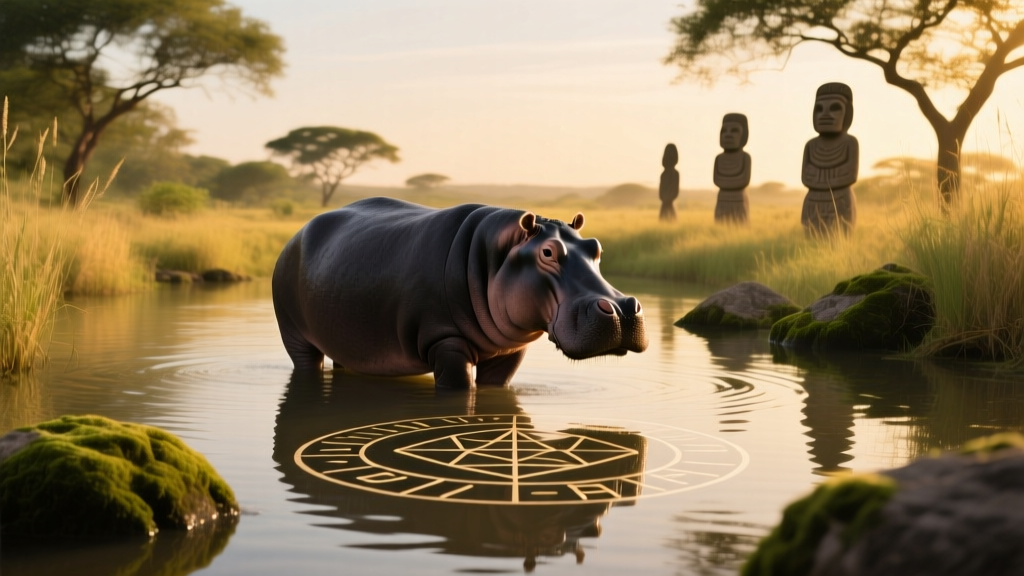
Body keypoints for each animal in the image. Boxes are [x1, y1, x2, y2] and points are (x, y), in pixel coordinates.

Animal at [272, 197, 647, 388]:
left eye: (595, 247)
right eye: (548, 252)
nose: (622, 308)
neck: (496, 255)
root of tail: (296, 233)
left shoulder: (509, 352)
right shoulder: (446, 342)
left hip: (346, 334)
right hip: (294, 332)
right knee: (305, 361)